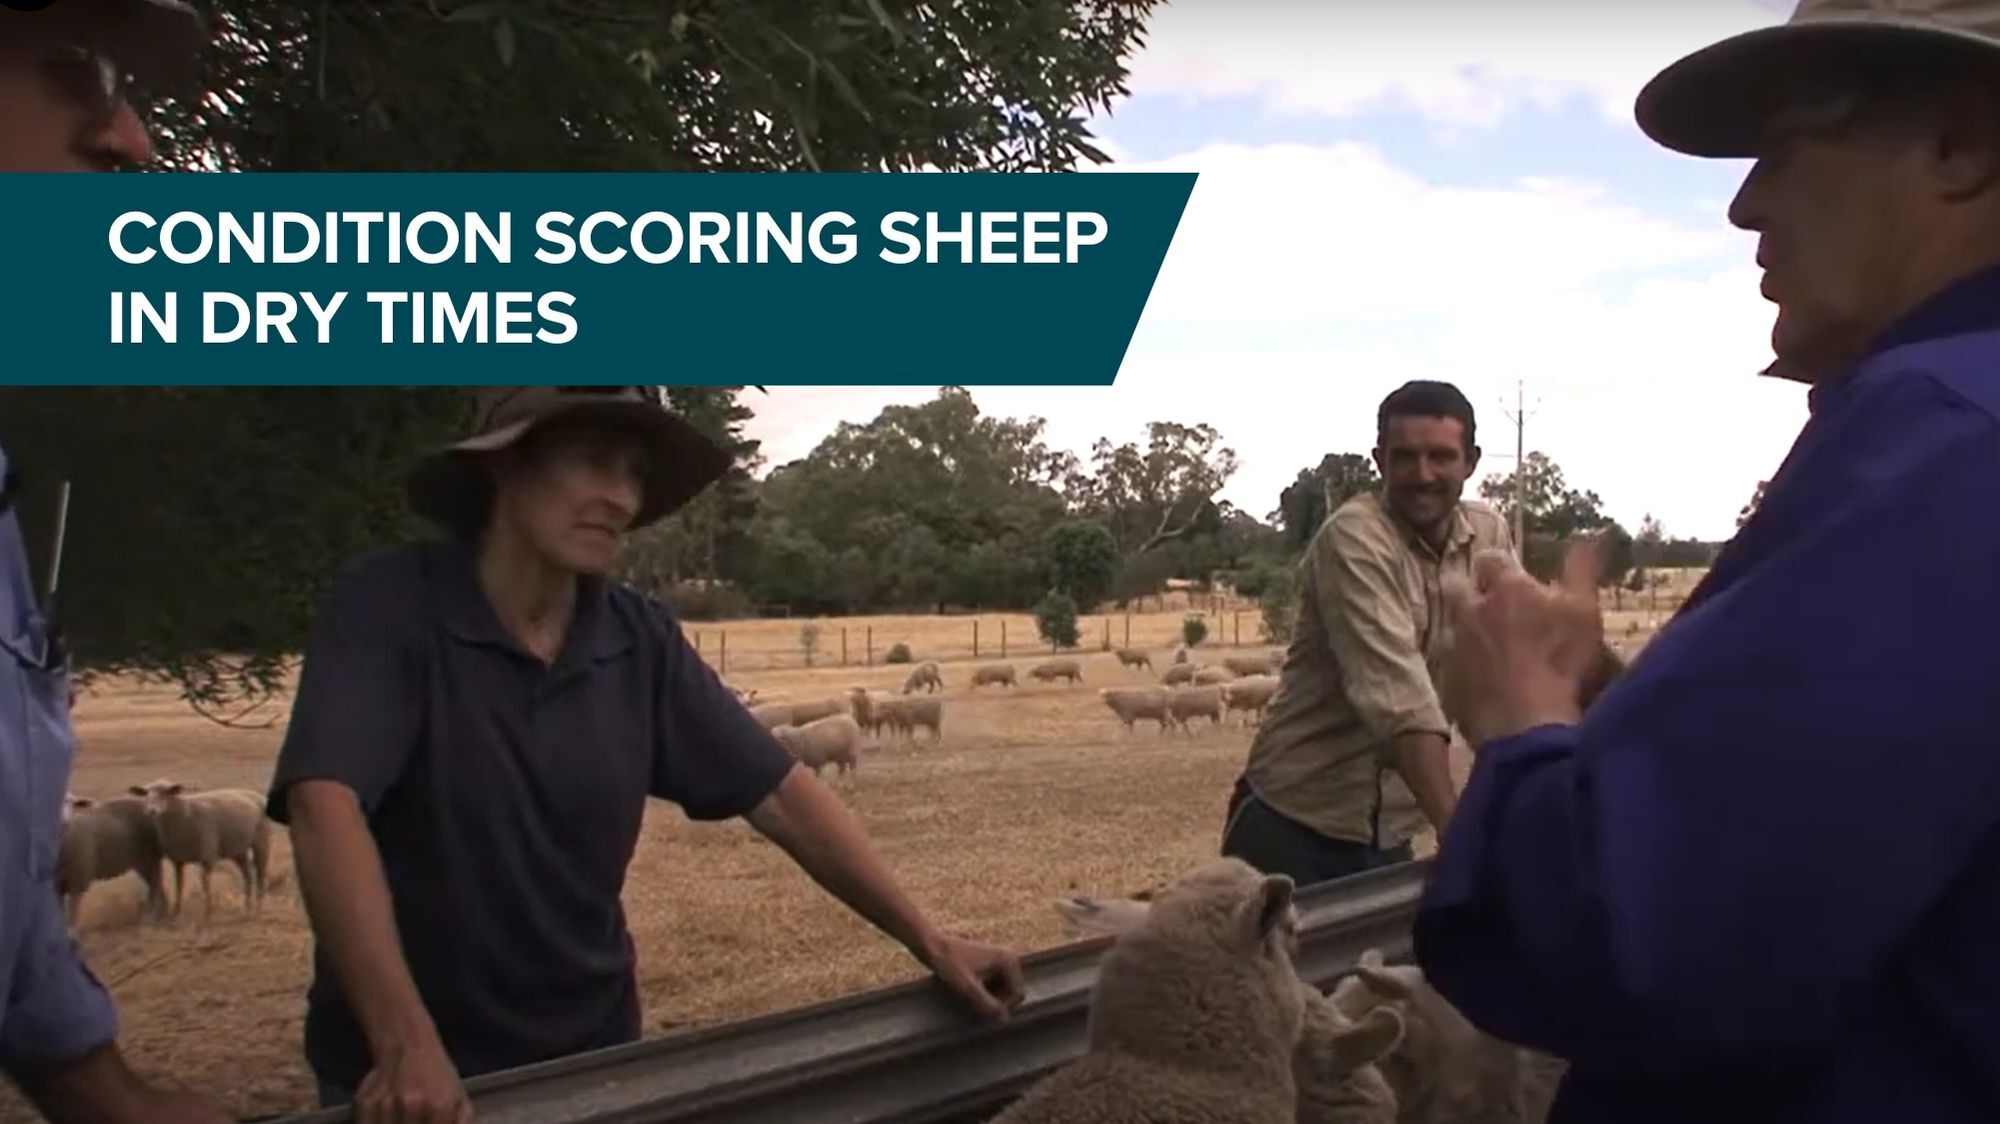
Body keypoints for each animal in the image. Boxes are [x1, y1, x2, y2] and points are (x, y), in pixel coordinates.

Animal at [56, 793, 167, 927]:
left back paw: (152, 917)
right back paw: (163, 915)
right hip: (142, 861)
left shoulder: (77, 883)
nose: (63, 820)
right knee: (157, 884)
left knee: (155, 885)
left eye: (70, 802)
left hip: (149, 858)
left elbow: (72, 914)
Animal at [127, 780, 271, 920]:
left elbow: (205, 885)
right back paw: (248, 908)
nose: (152, 810)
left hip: (261, 841)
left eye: (166, 793)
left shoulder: (208, 857)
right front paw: (176, 913)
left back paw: (258, 909)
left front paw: (208, 914)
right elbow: (179, 886)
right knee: (248, 875)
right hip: (238, 850)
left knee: (261, 874)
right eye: (146, 794)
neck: (185, 813)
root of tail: (255, 794)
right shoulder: (178, 860)